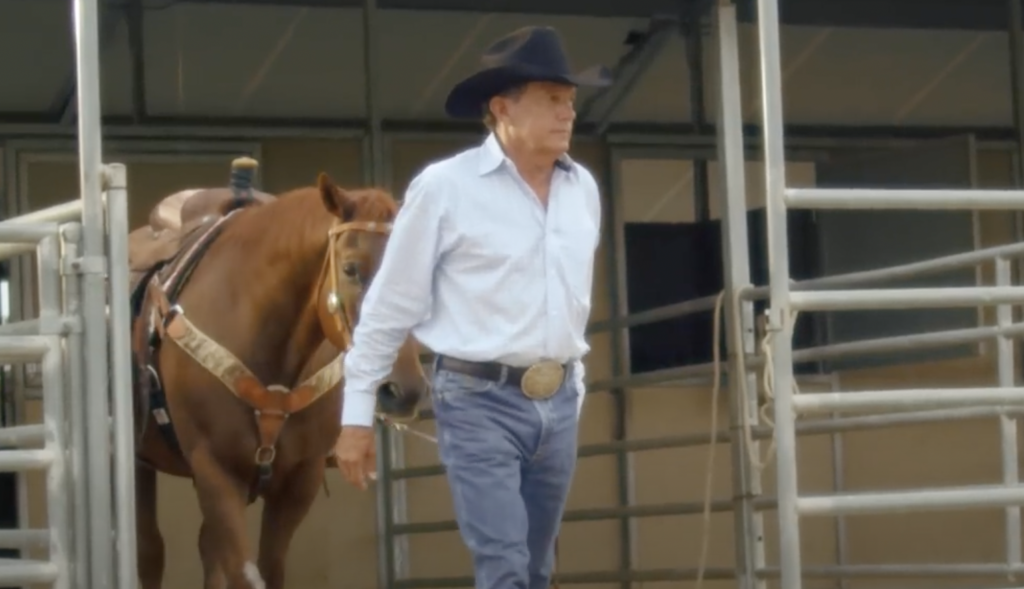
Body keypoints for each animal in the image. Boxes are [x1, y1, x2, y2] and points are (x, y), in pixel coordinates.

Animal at [126, 161, 428, 589]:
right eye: (351, 269)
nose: (402, 391)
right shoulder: (215, 471)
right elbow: (244, 573)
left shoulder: (299, 480)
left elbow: (267, 568)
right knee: (150, 550)